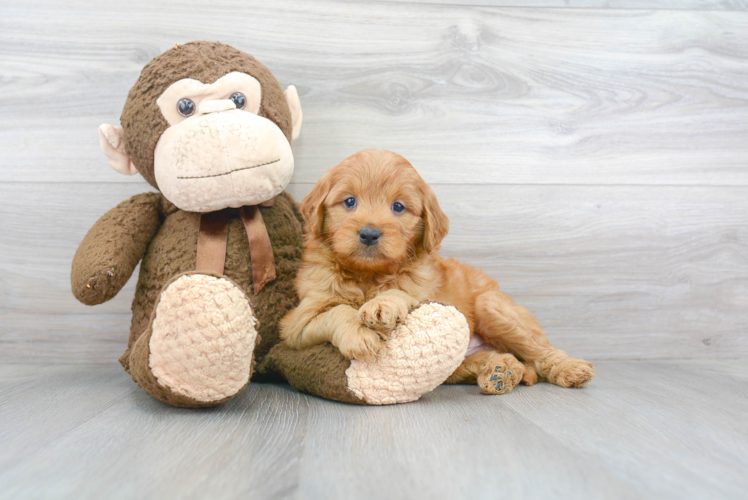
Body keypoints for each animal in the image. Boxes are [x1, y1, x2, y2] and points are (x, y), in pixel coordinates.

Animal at [280, 149, 596, 394]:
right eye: (349, 202)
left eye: (398, 207)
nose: (369, 234)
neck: (368, 275)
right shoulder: (298, 323)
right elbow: (336, 311)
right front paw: (359, 335)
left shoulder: (426, 295)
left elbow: (401, 291)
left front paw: (384, 304)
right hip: (463, 361)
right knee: (508, 362)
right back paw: (501, 371)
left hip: (492, 306)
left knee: (541, 353)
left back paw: (570, 368)